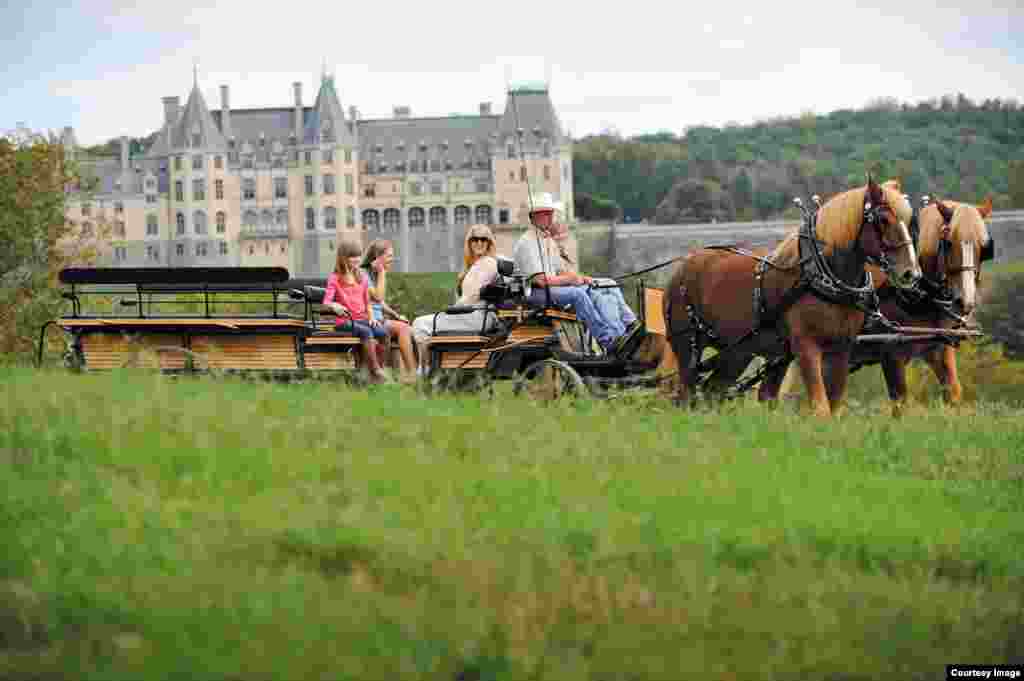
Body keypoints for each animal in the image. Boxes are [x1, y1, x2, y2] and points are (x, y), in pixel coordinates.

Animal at [663, 178, 921, 417]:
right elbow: (820, 406)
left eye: (910, 222)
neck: (822, 275)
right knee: (686, 393)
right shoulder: (805, 346)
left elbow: (833, 403)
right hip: (688, 347)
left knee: (713, 391)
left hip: (737, 352)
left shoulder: (841, 347)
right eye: (883, 220)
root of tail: (681, 268)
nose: (911, 273)